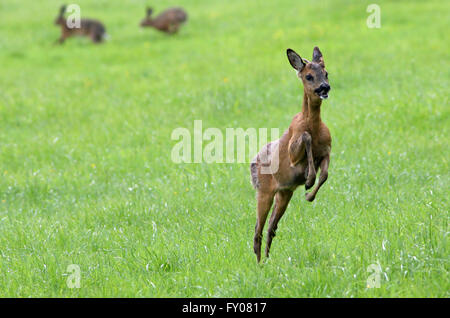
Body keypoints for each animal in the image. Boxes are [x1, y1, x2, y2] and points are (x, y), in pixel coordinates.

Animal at [251, 46, 332, 262]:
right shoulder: (294, 150)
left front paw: (309, 195)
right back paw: (259, 263)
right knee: (258, 229)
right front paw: (308, 180)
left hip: (284, 193)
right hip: (263, 191)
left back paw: (267, 261)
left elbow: (325, 174)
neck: (314, 126)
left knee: (271, 227)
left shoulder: (328, 150)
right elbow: (305, 137)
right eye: (309, 76)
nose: (324, 88)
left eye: (326, 73)